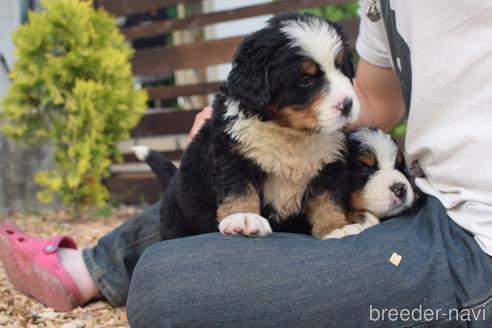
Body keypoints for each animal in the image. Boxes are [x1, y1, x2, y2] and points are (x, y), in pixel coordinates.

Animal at [135, 12, 362, 240]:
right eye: (306, 80)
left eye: (341, 67)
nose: (348, 105)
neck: (291, 134)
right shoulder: (231, 155)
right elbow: (239, 189)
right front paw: (243, 217)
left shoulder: (330, 162)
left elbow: (327, 199)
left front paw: (336, 227)